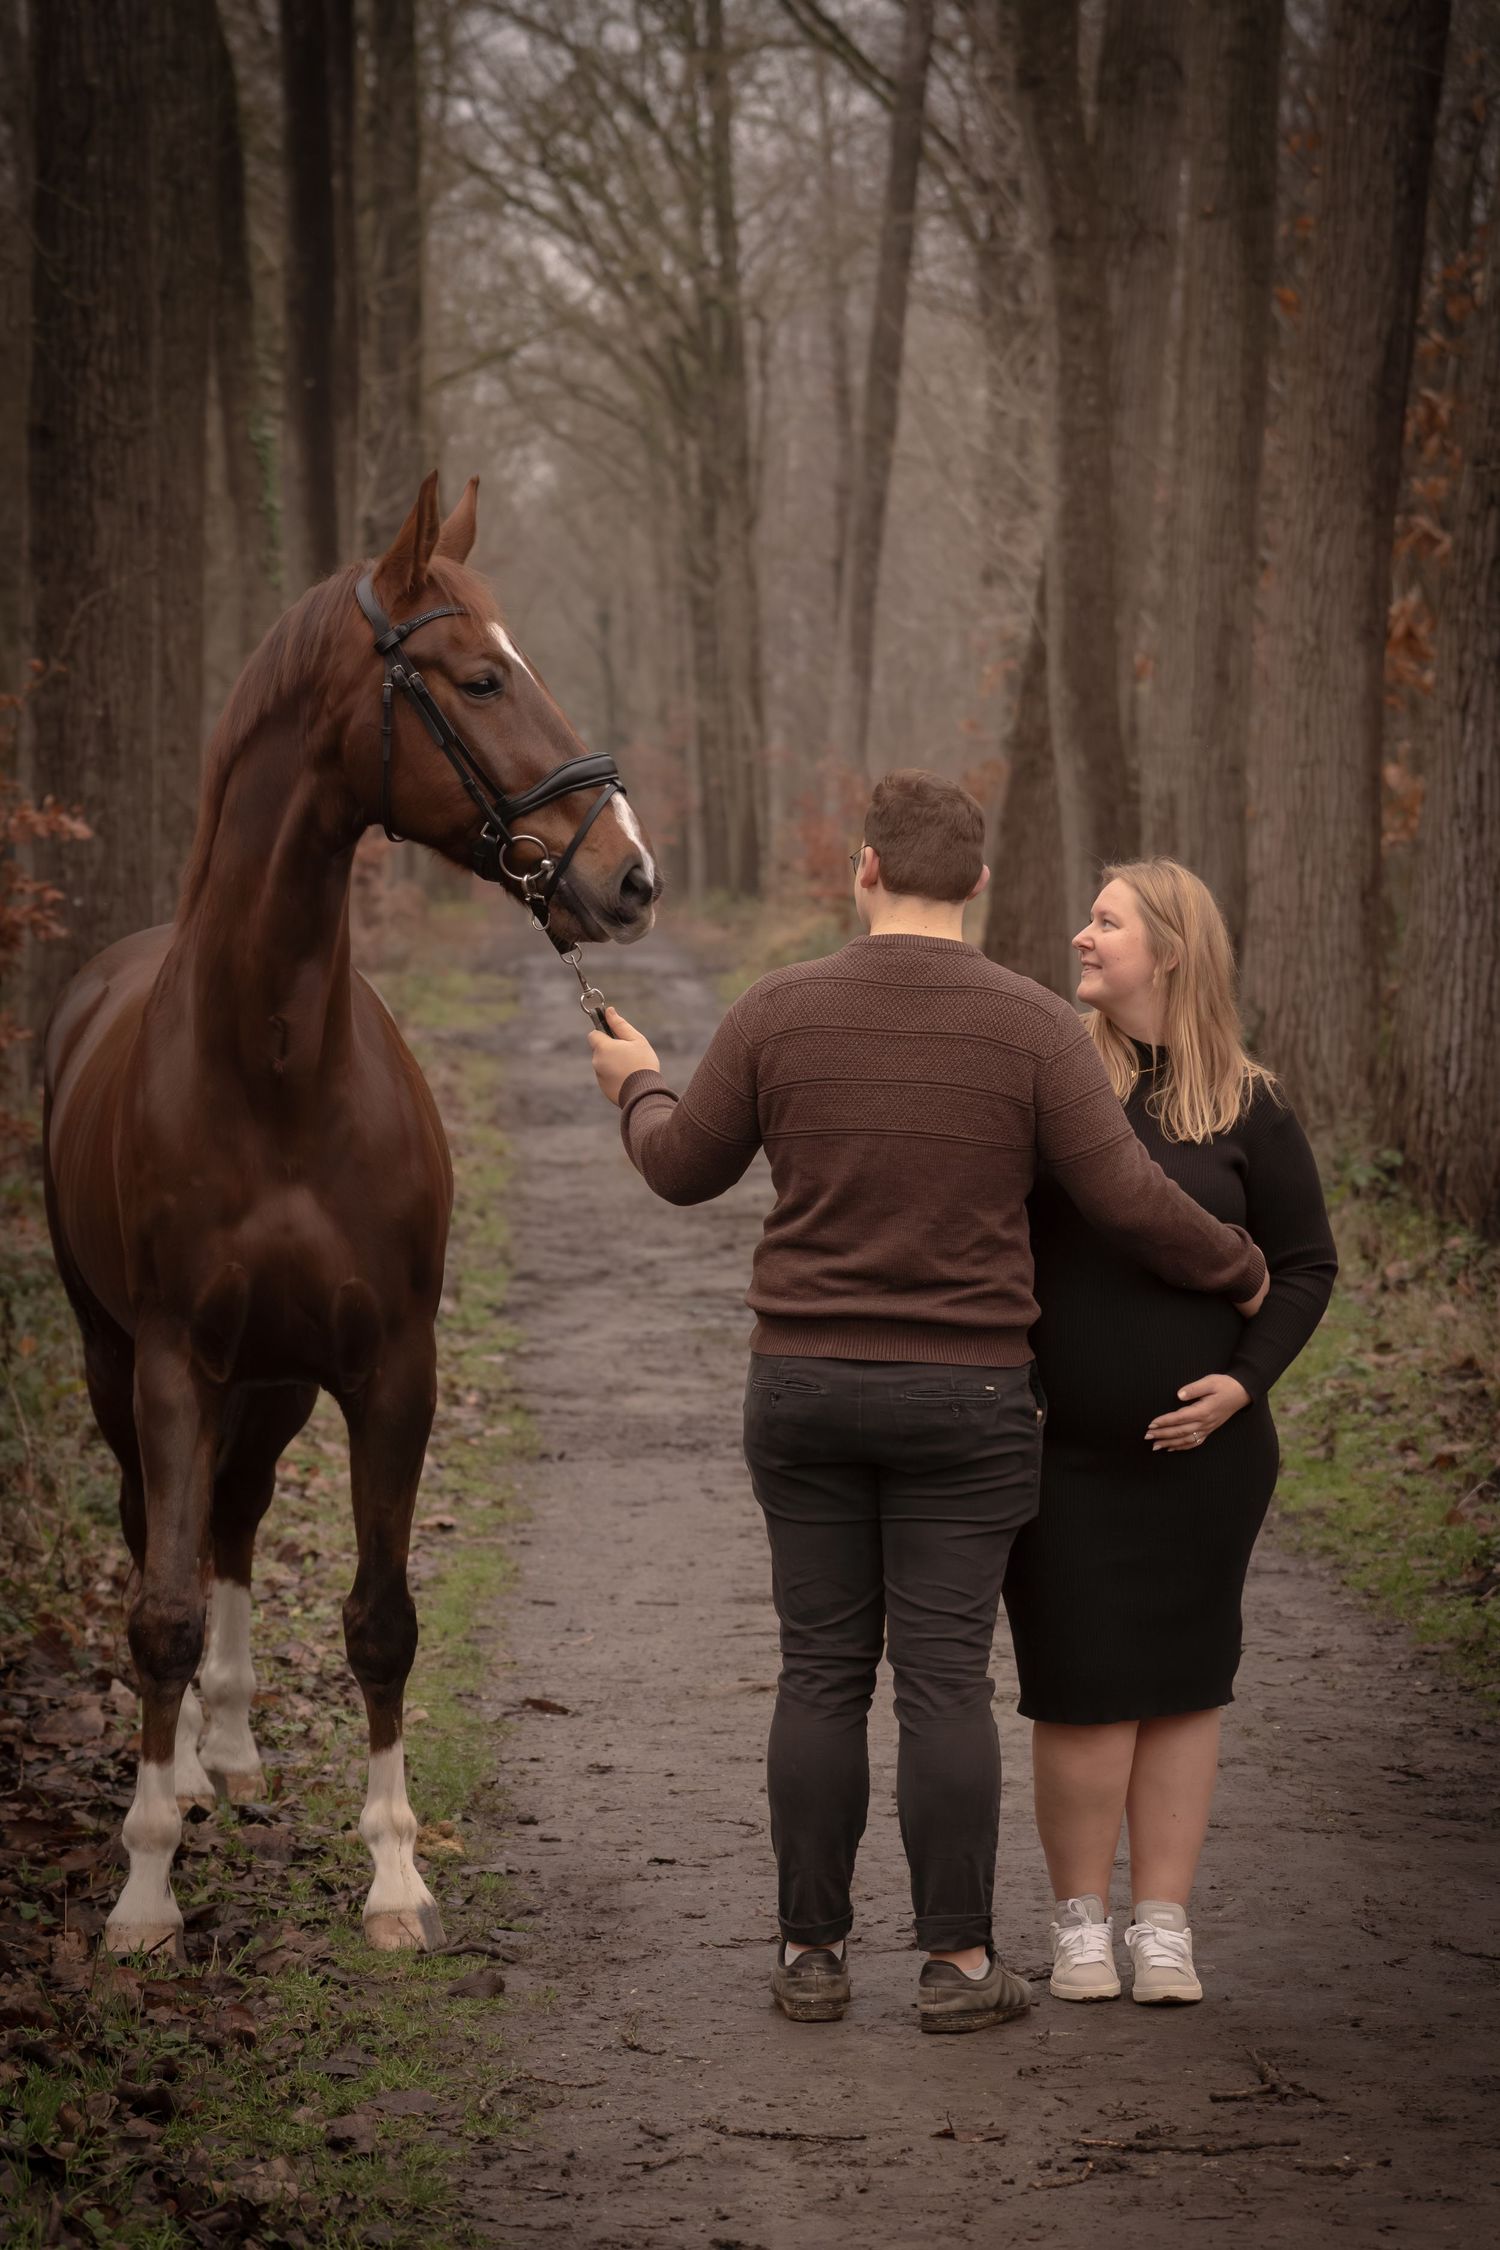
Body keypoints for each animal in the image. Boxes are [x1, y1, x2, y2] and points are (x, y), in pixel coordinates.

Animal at [41, 473, 659, 1959]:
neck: (272, 1059)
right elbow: (156, 1610)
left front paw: (392, 1875)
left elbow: (381, 1617)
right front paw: (143, 1890)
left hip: (269, 1378)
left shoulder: (390, 1365)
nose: (630, 878)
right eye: (482, 676)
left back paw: (231, 1745)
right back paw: (187, 1772)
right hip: (123, 1363)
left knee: (241, 1517)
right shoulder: (169, 1364)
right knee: (170, 1528)